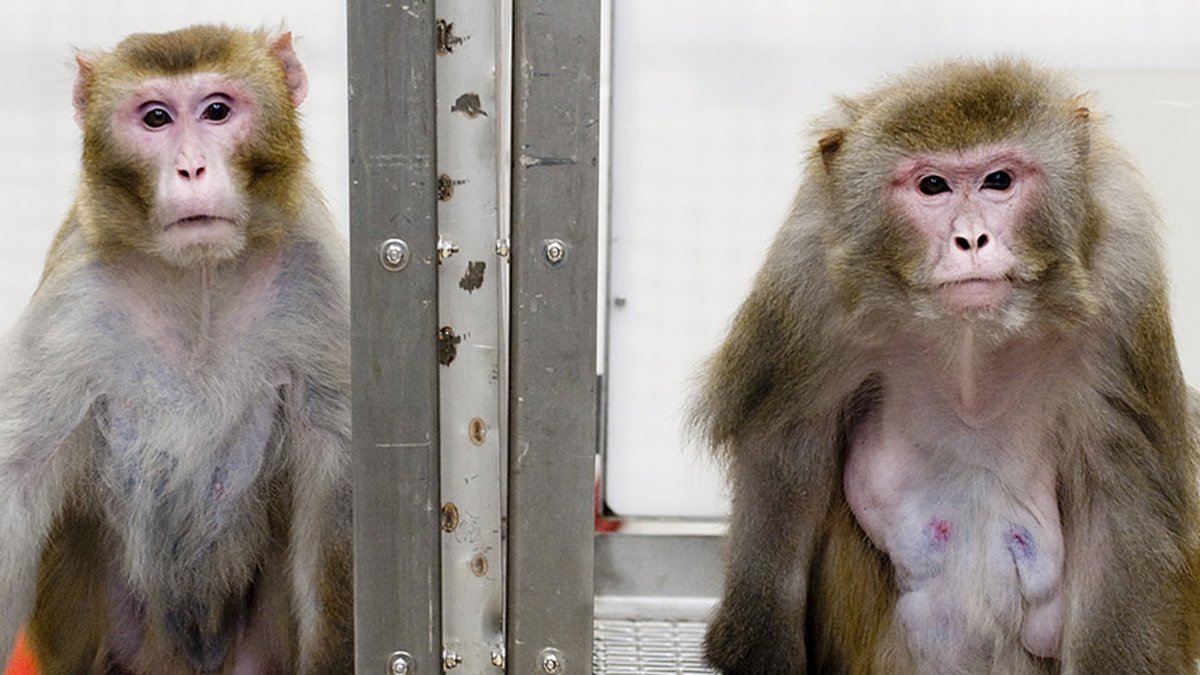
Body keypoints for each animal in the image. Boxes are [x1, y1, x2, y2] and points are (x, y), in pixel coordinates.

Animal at [0, 23, 350, 667]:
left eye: (217, 111)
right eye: (156, 118)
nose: (191, 169)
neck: (199, 280)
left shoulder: (314, 279)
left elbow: (336, 494)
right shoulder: (73, 300)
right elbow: (16, 482)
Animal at [696, 60, 1200, 667]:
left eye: (998, 181)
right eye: (932, 185)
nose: (972, 238)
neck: (970, 343)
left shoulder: (1124, 280)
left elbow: (1119, 498)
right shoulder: (809, 284)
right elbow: (784, 460)